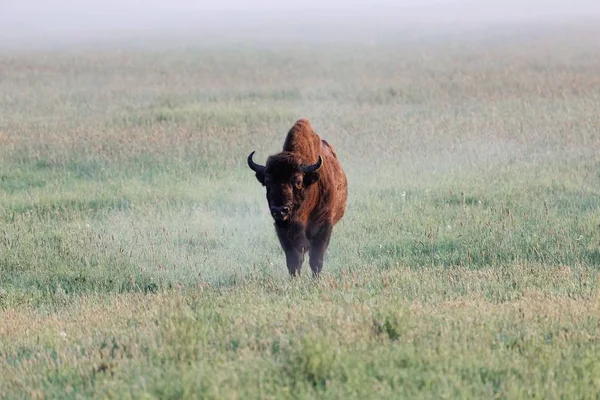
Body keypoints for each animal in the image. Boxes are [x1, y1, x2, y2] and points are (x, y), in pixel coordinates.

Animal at [247, 117, 350, 276]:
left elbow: (316, 259)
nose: (279, 210)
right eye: (268, 181)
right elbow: (294, 259)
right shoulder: (283, 230)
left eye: (298, 181)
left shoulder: (323, 226)